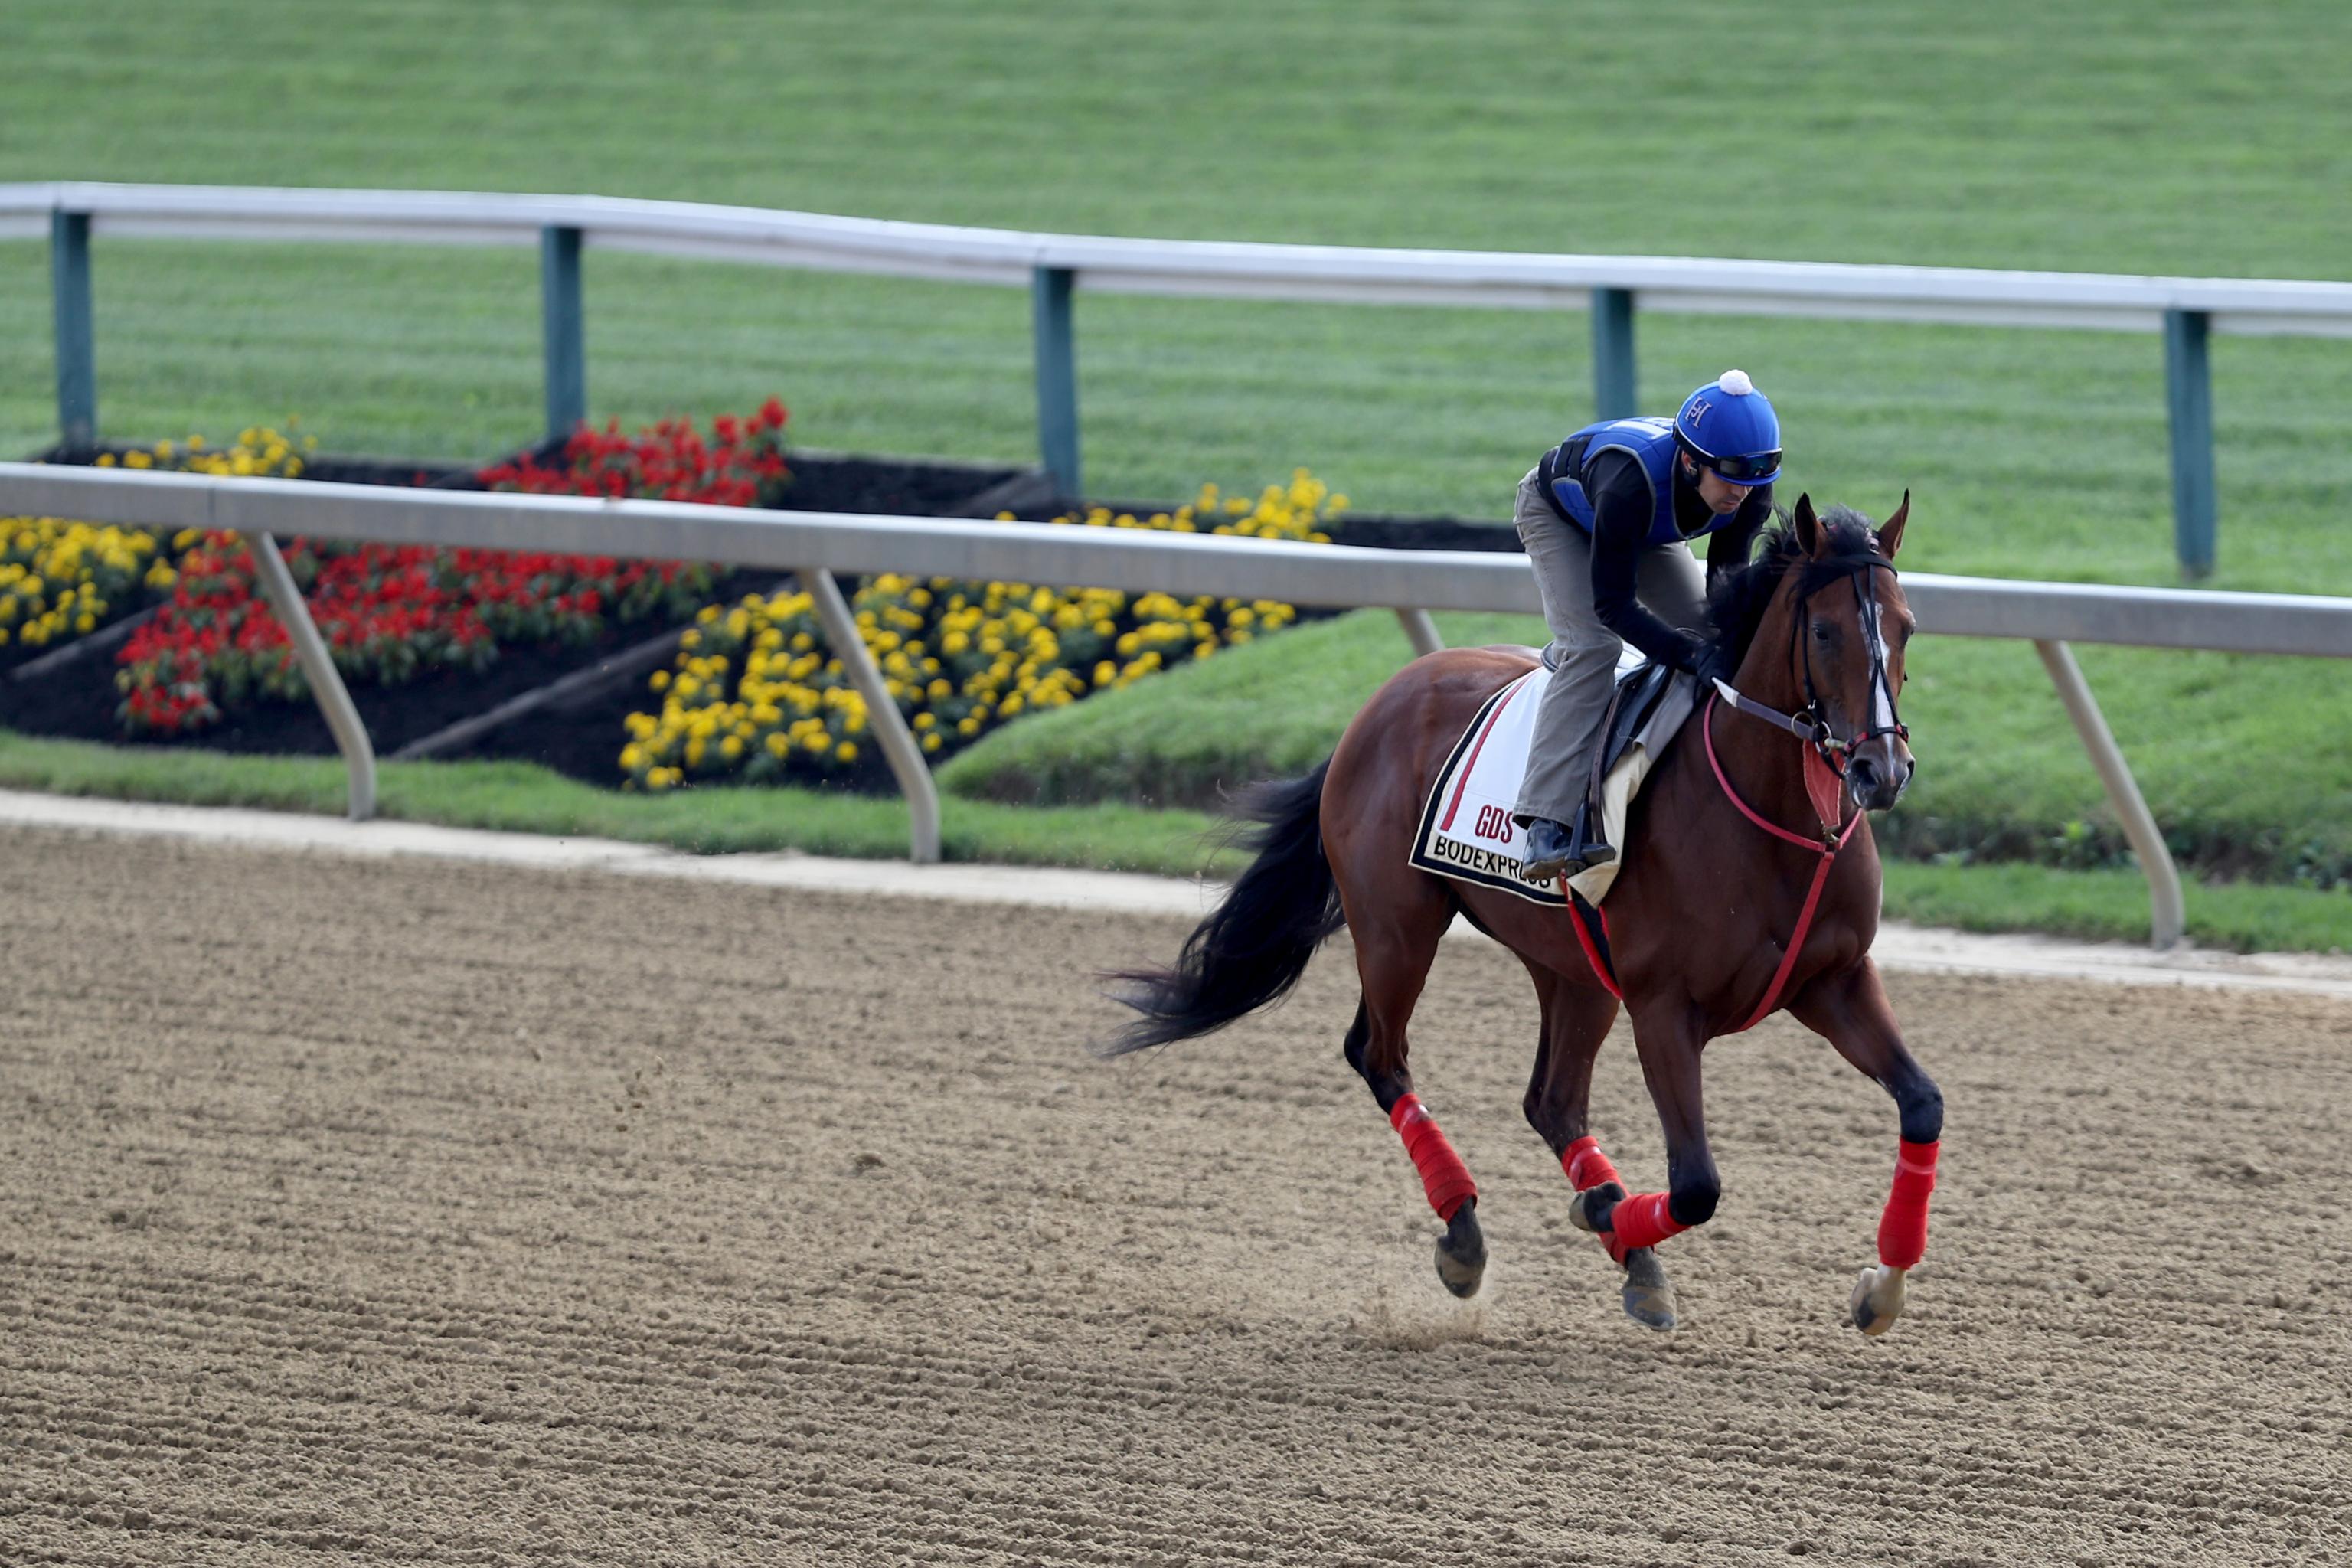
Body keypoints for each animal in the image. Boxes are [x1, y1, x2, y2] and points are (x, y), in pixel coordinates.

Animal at [1091, 495, 1938, 1335]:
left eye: (1906, 625)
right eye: (1824, 631)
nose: (1881, 770)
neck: (1774, 820)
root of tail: (1383, 699)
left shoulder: (1833, 979)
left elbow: (1922, 1104)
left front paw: (1882, 1289)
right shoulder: (1664, 1007)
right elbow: (1697, 1183)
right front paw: (1605, 1217)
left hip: (1572, 965)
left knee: (1551, 1100)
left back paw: (1623, 1243)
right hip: (1398, 930)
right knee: (1380, 1054)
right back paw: (1470, 1236)